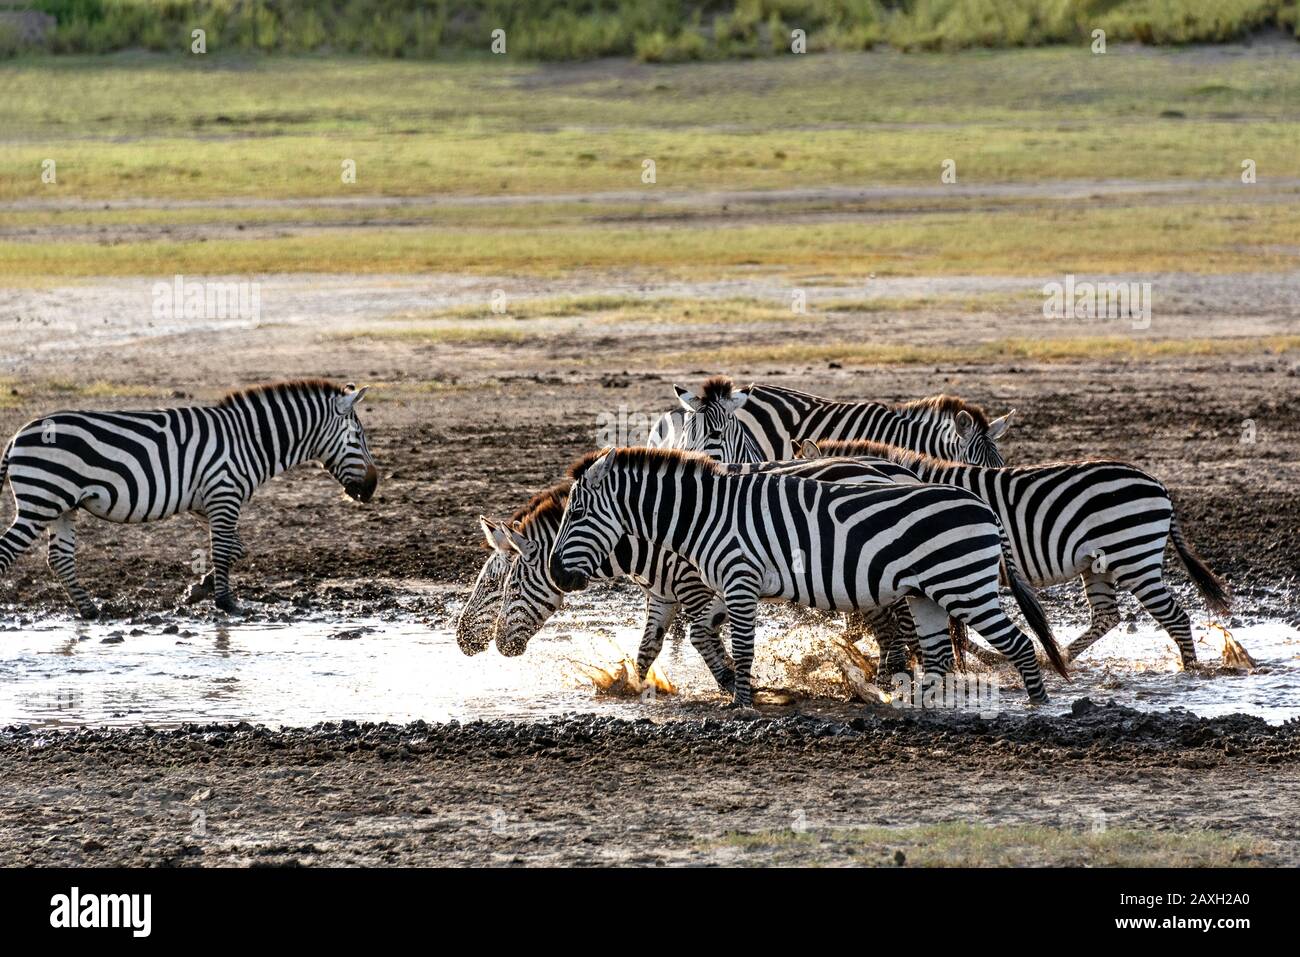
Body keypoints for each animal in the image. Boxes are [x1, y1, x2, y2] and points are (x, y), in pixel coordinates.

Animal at [0, 377, 379, 616]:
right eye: (358, 437)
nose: (373, 488)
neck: (249, 440)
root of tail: (17, 435)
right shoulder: (224, 494)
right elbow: (224, 550)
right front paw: (226, 602)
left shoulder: (205, 503)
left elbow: (237, 548)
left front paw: (200, 588)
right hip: (40, 503)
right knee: (8, 552)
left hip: (62, 508)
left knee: (59, 559)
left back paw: (90, 610)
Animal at [548, 444, 1066, 707]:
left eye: (577, 514)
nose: (557, 573)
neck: (705, 515)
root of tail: (986, 509)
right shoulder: (712, 588)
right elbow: (676, 638)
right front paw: (646, 688)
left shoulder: (739, 580)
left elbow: (741, 646)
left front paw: (741, 704)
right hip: (928, 593)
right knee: (937, 655)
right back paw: (915, 707)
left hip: (966, 587)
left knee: (1020, 645)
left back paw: (1040, 707)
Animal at [795, 439, 1232, 665]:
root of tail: (1157, 482)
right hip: (1098, 564)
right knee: (1107, 616)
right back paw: (1055, 658)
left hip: (1133, 556)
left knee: (1175, 617)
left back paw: (1190, 672)